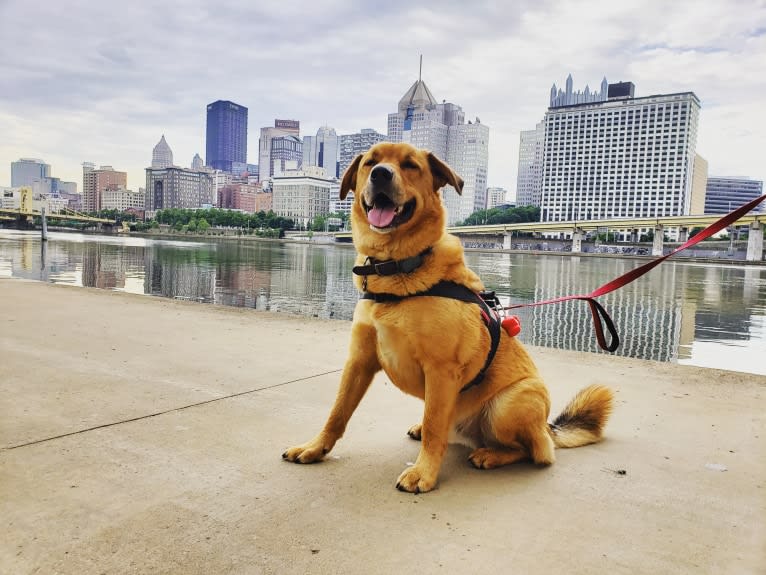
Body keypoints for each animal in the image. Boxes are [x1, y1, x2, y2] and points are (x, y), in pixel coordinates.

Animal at [284, 142, 616, 492]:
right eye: (370, 162)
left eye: (410, 165)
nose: (380, 175)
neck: (397, 268)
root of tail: (547, 427)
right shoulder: (359, 361)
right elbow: (337, 413)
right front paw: (314, 448)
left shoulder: (441, 369)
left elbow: (434, 427)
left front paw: (424, 473)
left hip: (512, 402)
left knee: (534, 452)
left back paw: (490, 455)